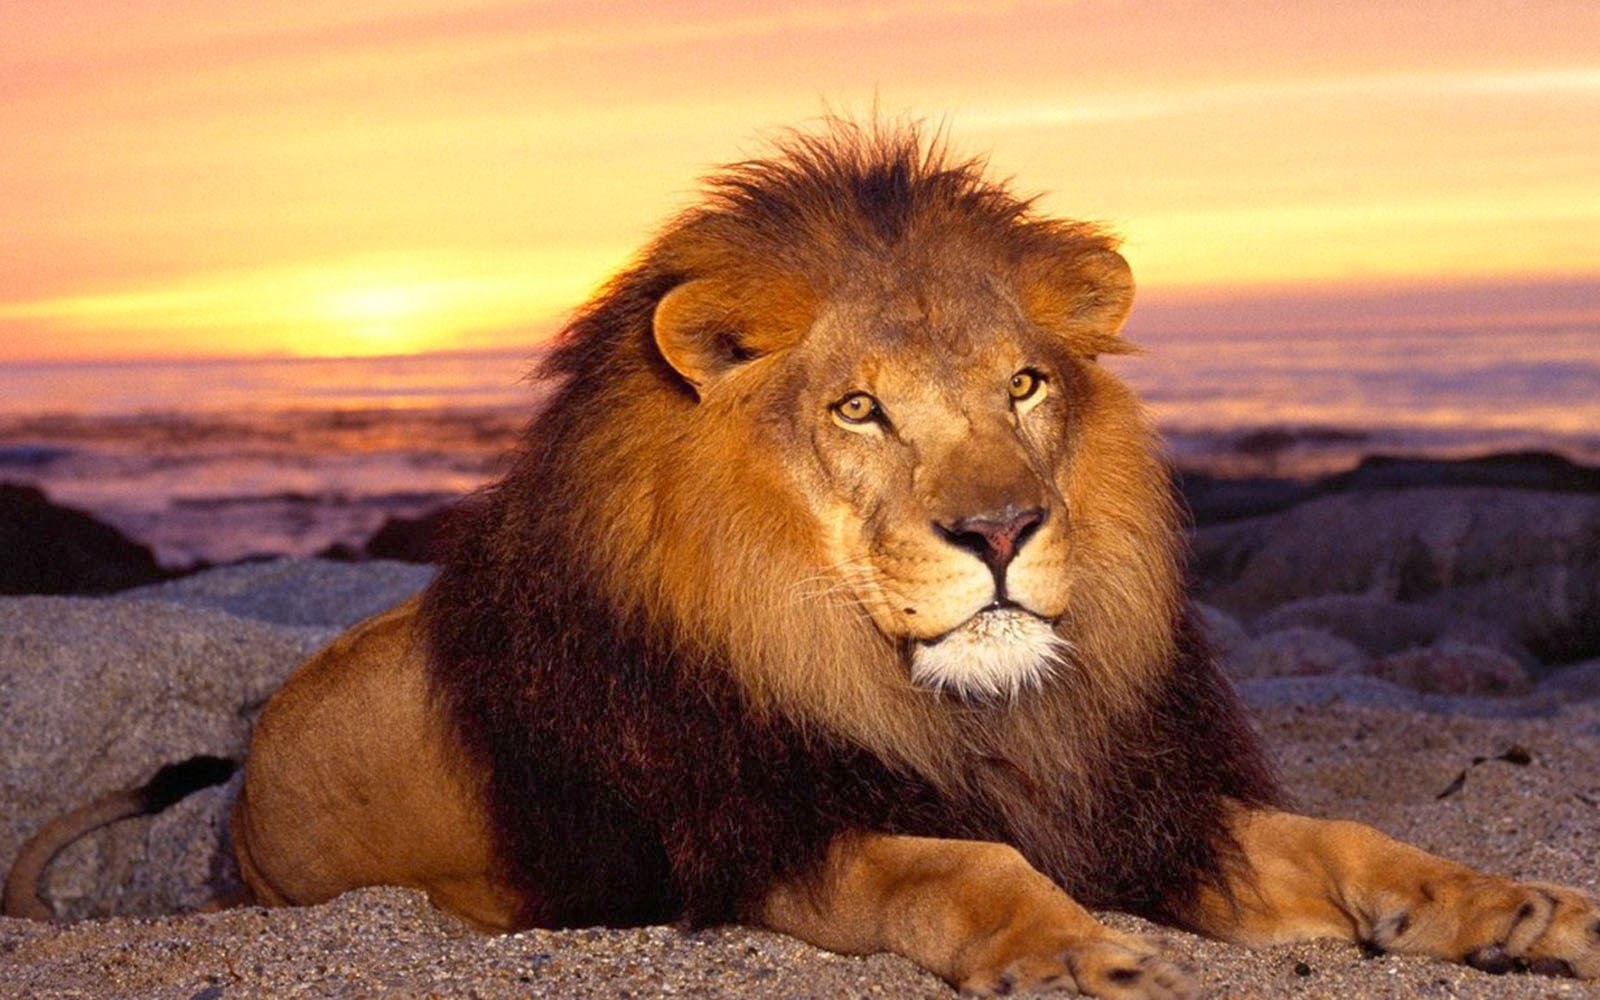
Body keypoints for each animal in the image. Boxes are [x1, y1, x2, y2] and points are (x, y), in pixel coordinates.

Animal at [9, 123, 1599, 996]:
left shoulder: (1128, 799)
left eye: (1026, 386)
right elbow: (950, 866)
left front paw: (1516, 909)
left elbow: (1348, 842)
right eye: (858, 409)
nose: (1003, 530)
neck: (949, 705)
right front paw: (1078, 948)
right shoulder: (753, 835)